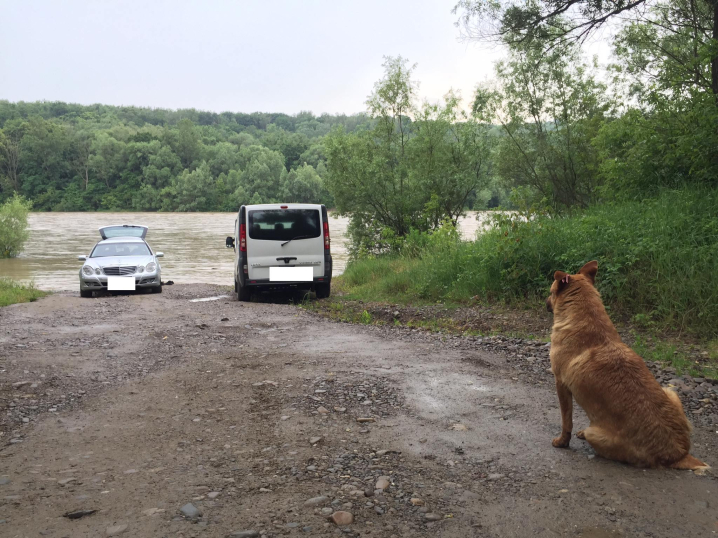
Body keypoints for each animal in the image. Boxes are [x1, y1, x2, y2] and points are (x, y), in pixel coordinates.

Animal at [552, 260, 708, 468]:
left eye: (551, 292)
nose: (545, 302)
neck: (587, 320)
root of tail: (678, 453)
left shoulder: (560, 384)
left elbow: (566, 421)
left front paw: (562, 441)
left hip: (597, 434)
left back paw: (585, 434)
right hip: (670, 392)